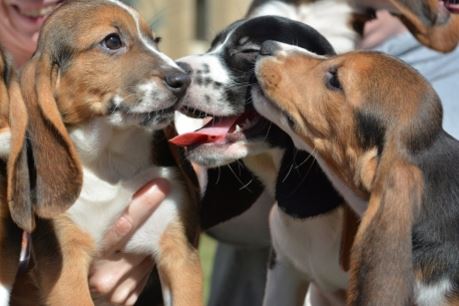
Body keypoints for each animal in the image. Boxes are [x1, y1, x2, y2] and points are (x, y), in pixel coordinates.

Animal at [6, 1, 203, 304]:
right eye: (112, 41)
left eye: (156, 40)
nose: (184, 79)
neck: (110, 159)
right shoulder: (66, 269)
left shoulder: (180, 255)